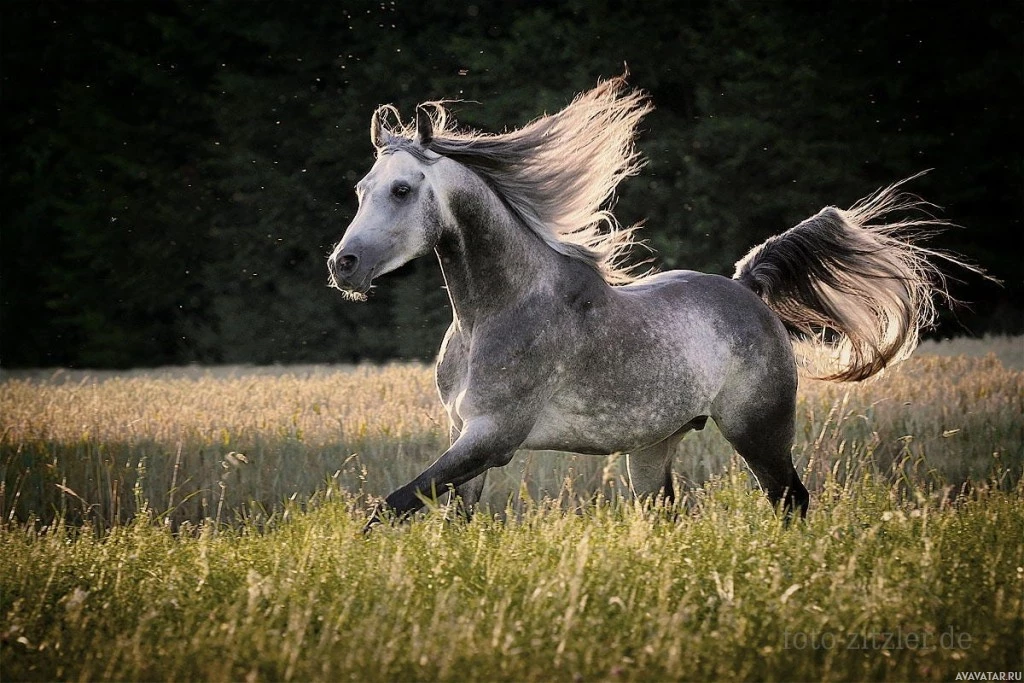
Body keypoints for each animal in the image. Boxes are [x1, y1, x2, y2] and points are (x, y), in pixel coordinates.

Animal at [327, 77, 966, 532]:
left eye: (402, 190)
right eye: (360, 189)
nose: (343, 265)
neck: (493, 314)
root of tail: (746, 290)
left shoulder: (492, 437)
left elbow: (388, 507)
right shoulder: (465, 435)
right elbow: (453, 522)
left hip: (759, 428)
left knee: (790, 499)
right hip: (654, 446)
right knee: (668, 512)